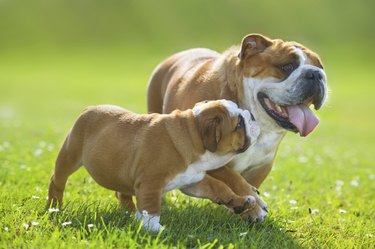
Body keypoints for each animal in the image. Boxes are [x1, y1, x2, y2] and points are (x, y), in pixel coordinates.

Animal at [47, 99, 264, 231]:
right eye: (238, 124)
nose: (252, 115)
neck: (192, 131)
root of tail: (88, 108)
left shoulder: (193, 181)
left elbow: (219, 188)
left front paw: (241, 202)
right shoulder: (150, 182)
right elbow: (152, 206)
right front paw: (153, 227)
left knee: (122, 192)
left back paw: (131, 213)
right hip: (70, 154)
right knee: (57, 181)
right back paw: (54, 207)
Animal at [148, 33, 328, 218]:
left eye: (320, 67)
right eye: (287, 66)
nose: (316, 74)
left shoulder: (262, 165)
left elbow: (249, 184)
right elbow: (233, 178)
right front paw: (255, 207)